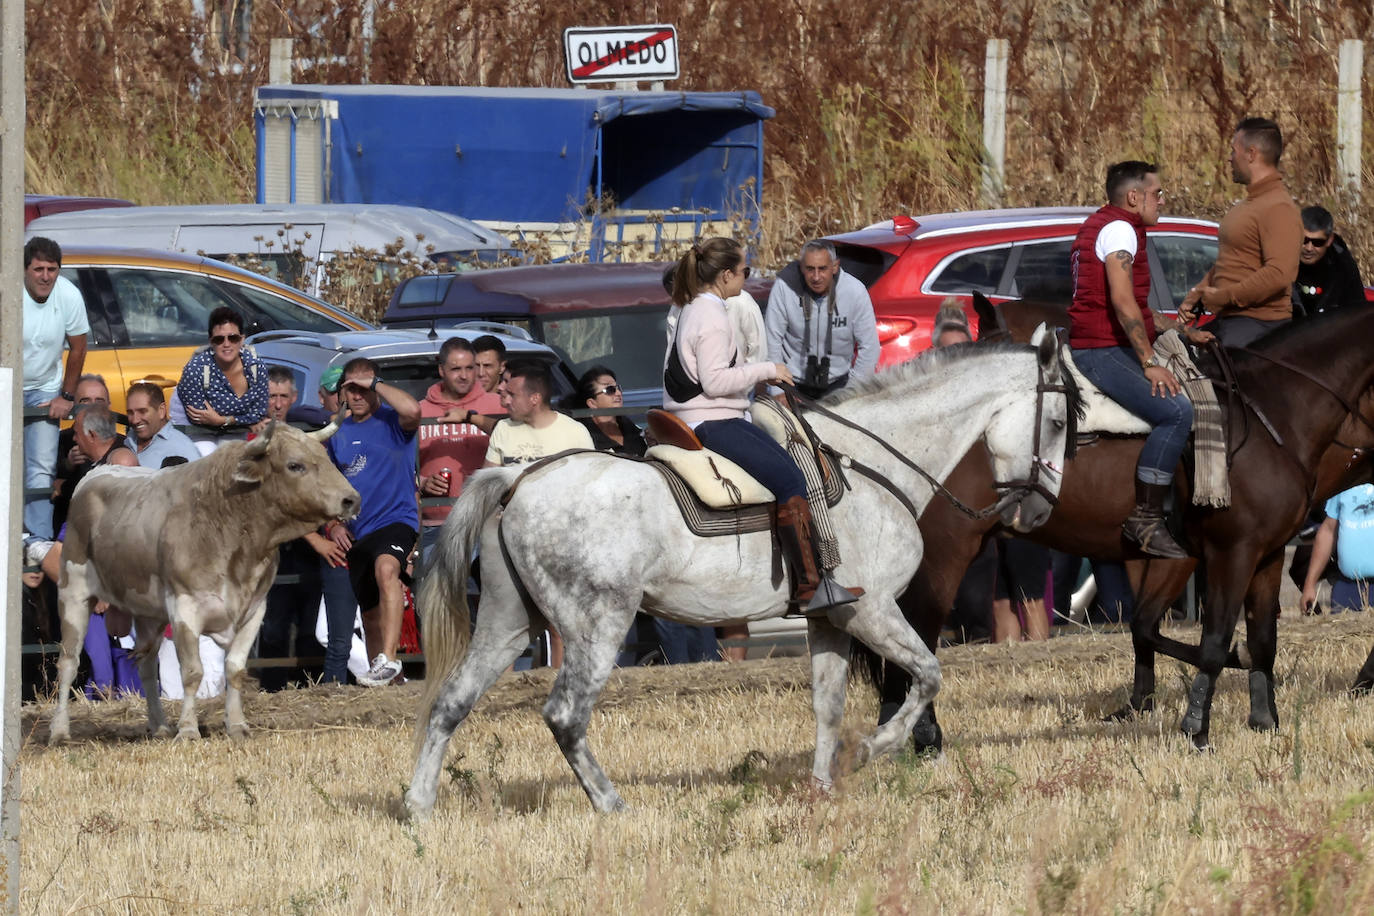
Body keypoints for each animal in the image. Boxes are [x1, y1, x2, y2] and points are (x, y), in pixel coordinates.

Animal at [47, 417, 359, 747]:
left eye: (325, 458)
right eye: (295, 465)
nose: (352, 499)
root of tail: (94, 476)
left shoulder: (254, 610)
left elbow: (234, 668)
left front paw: (237, 725)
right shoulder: (185, 608)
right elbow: (192, 672)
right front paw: (187, 729)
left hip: (148, 613)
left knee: (147, 665)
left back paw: (159, 726)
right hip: (73, 594)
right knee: (68, 663)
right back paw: (60, 730)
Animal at [401, 330, 1077, 818]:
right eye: (1059, 423)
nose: (1042, 511)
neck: (871, 462)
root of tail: (520, 477)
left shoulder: (829, 617)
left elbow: (828, 704)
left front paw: (822, 788)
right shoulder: (871, 608)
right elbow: (929, 675)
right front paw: (874, 749)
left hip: (507, 623)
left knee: (450, 704)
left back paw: (418, 808)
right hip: (598, 625)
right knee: (566, 716)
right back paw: (613, 806)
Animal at [862, 302, 1374, 752]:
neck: (1274, 412)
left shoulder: (1261, 555)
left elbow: (1258, 640)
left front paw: (1264, 722)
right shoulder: (1230, 553)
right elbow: (1209, 642)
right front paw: (1195, 728)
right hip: (947, 552)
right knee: (918, 637)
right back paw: (923, 737)